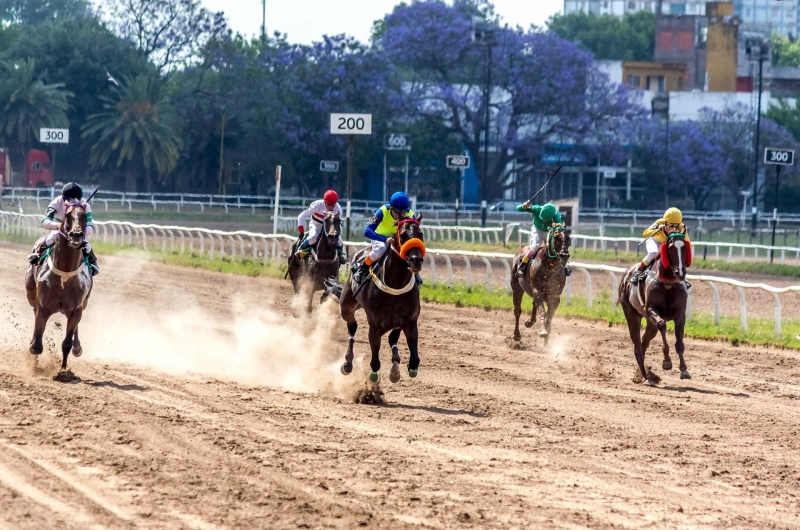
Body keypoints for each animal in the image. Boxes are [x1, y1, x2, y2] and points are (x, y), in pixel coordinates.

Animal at [25, 200, 93, 378]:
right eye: (68, 215)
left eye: (84, 216)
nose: (76, 235)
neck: (65, 273)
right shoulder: (43, 306)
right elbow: (37, 345)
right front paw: (33, 352)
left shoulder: (76, 309)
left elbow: (66, 343)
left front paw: (63, 372)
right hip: (31, 293)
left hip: (84, 303)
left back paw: (77, 347)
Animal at [326, 214, 424, 384]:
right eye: (403, 235)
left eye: (421, 234)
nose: (416, 260)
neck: (395, 286)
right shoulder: (375, 326)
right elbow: (375, 360)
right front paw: (374, 375)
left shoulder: (410, 322)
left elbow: (414, 360)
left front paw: (398, 371)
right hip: (346, 306)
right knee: (352, 327)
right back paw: (347, 363)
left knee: (392, 338)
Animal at [616, 231, 692, 384]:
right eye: (670, 248)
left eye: (685, 248)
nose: (680, 273)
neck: (668, 282)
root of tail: (626, 274)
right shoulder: (651, 310)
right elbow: (662, 324)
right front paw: (667, 362)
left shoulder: (680, 313)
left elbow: (679, 342)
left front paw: (684, 370)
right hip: (631, 313)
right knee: (637, 345)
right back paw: (646, 376)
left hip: (650, 324)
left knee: (644, 342)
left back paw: (645, 374)